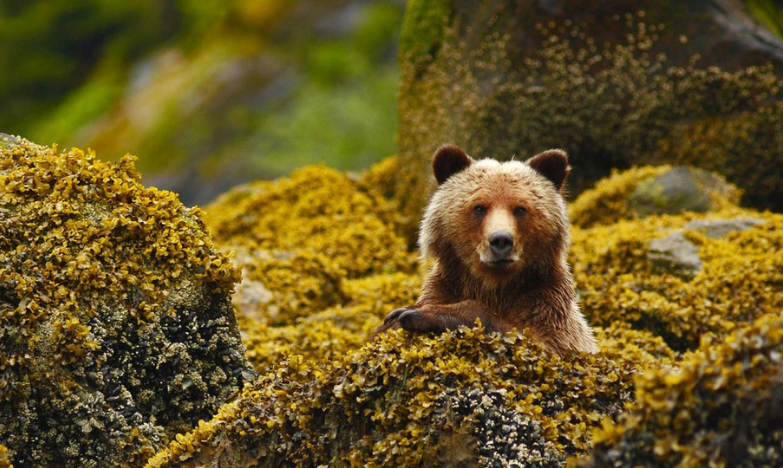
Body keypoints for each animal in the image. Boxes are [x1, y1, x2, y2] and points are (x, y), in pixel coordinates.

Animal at [373, 145, 598, 355]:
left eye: (520, 209)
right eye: (479, 207)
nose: (501, 240)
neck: (495, 286)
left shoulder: (548, 305)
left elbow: (537, 341)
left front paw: (414, 314)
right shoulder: (446, 286)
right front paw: (395, 317)